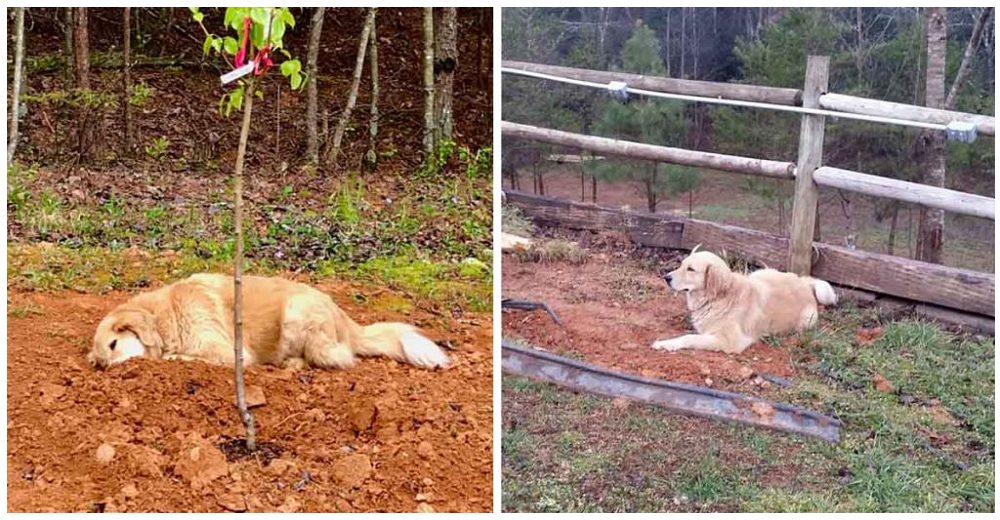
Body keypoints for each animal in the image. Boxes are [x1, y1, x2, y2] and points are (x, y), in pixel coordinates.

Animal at [90, 272, 450, 370]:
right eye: (100, 362)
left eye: (115, 343)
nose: (109, 369)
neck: (166, 316)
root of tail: (344, 318)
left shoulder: (230, 353)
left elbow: (188, 357)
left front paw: (176, 357)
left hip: (295, 314)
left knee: (339, 359)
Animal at [648, 248, 836, 354]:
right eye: (681, 265)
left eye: (691, 269)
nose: (666, 277)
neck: (718, 298)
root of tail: (804, 283)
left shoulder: (730, 342)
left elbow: (690, 338)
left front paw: (665, 344)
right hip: (759, 273)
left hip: (806, 322)